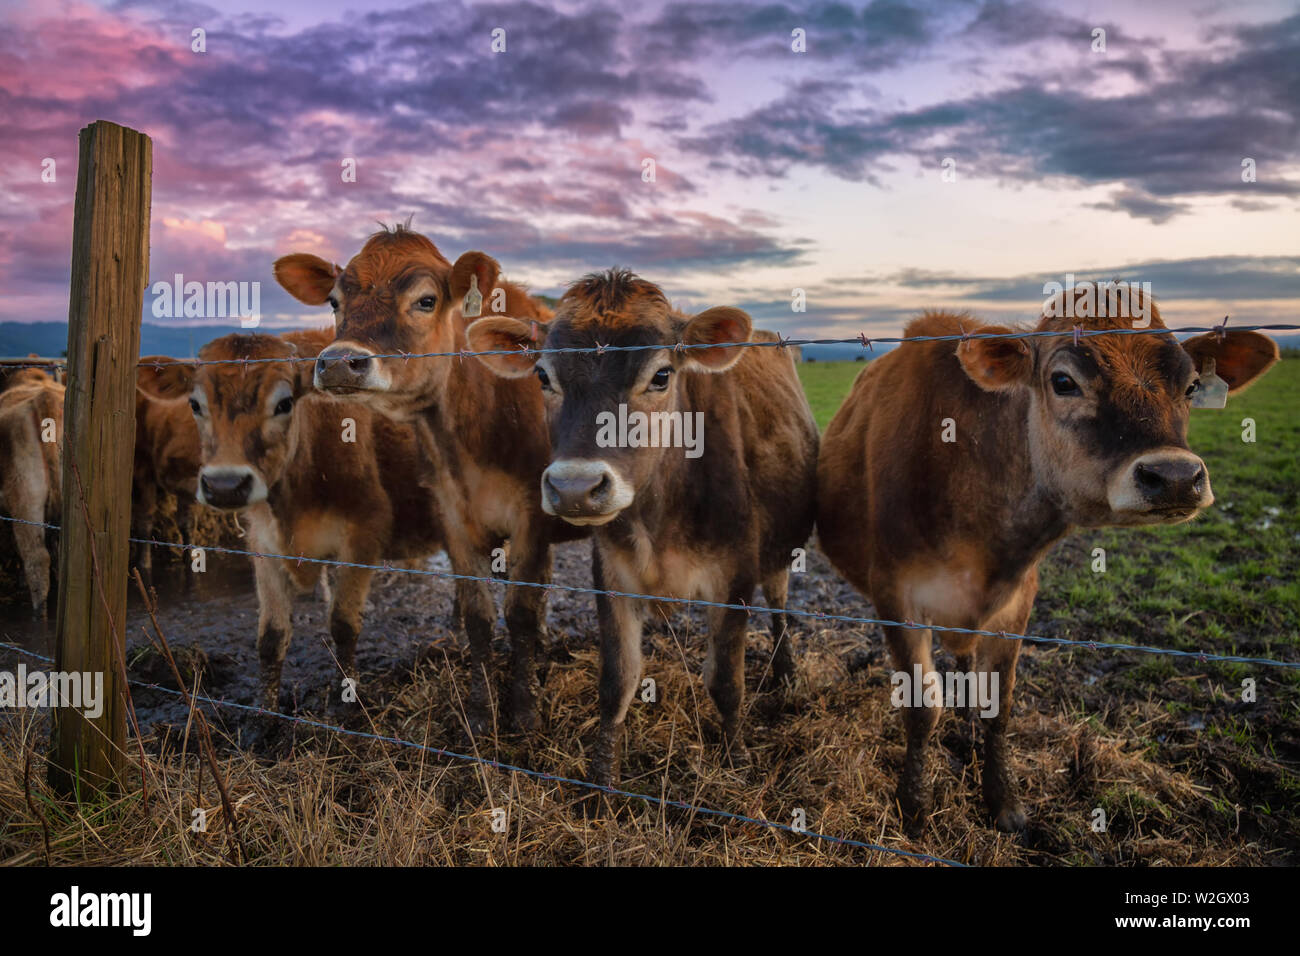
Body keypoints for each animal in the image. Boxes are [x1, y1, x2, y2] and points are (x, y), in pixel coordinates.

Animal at [272, 225, 579, 735]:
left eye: (426, 300)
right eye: (334, 301)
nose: (338, 363)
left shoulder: (532, 517)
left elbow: (518, 613)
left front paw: (524, 711)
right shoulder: (452, 516)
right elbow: (478, 617)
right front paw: (481, 710)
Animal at [466, 269, 819, 784]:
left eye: (661, 375)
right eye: (543, 376)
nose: (575, 487)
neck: (661, 514)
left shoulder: (734, 575)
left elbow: (726, 682)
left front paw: (736, 760)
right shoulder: (612, 574)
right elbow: (618, 680)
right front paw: (601, 779)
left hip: (778, 550)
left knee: (778, 605)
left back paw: (787, 671)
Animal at [816, 291, 1279, 832]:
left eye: (1190, 386)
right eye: (1063, 381)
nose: (1176, 477)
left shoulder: (1016, 602)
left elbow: (999, 705)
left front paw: (1003, 800)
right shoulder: (897, 595)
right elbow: (920, 710)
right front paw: (914, 806)